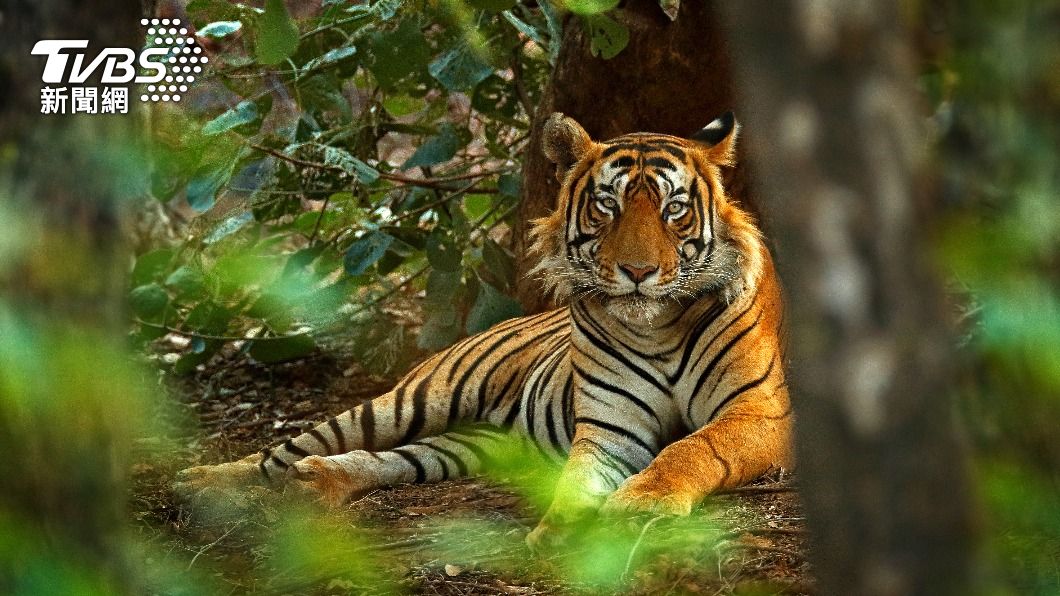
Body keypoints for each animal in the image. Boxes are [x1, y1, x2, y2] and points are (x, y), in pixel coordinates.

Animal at [174, 111, 793, 550]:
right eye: (607, 206)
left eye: (674, 210)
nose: (637, 272)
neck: (657, 328)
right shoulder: (609, 429)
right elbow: (577, 480)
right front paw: (561, 531)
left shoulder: (759, 413)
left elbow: (694, 447)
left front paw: (641, 504)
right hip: (413, 399)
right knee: (285, 449)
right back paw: (201, 482)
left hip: (474, 444)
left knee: (393, 459)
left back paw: (316, 482)